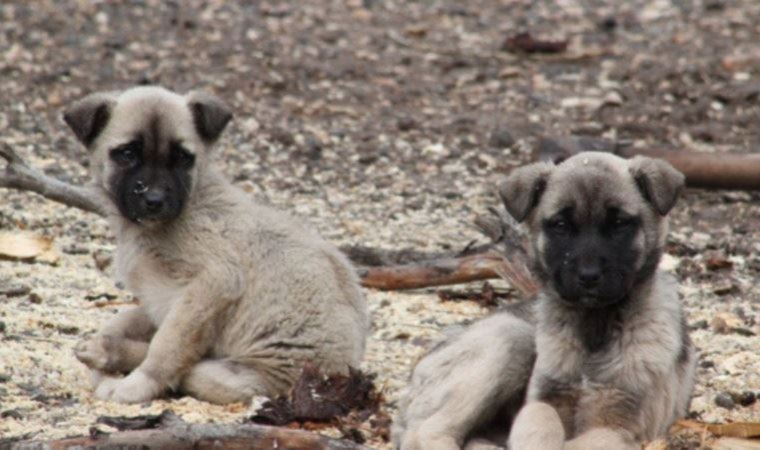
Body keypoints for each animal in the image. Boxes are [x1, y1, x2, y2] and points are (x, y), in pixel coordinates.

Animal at [67, 87, 370, 404]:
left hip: (235, 376)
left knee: (195, 368)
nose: (154, 200)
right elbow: (136, 321)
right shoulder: (162, 299)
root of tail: (341, 373)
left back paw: (107, 353)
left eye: (183, 158)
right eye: (127, 154)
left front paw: (137, 384)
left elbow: (168, 345)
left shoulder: (216, 280)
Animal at [394, 152, 696, 450]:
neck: (592, 326)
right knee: (425, 432)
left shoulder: (618, 424)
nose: (588, 276)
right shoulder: (543, 400)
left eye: (619, 224)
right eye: (561, 225)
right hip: (510, 337)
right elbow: (542, 421)